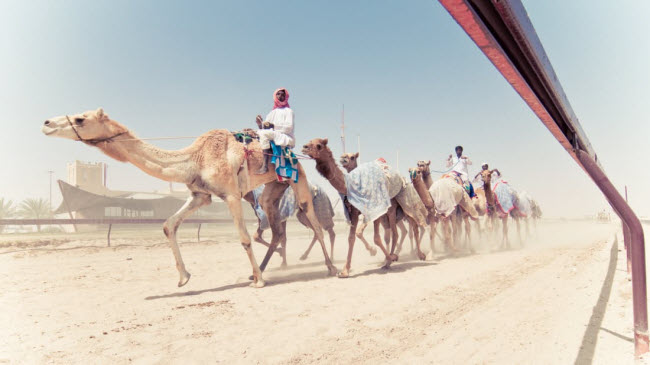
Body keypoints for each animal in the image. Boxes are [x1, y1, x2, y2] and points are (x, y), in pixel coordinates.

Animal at [41, 108, 336, 288]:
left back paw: (330, 268)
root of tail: (294, 152)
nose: (46, 123)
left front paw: (260, 282)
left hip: (298, 180)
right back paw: (265, 268)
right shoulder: (200, 196)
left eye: (80, 118)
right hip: (271, 190)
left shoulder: (231, 194)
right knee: (276, 228)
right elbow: (168, 224)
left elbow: (243, 238)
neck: (194, 159)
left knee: (315, 222)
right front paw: (183, 277)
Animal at [300, 138, 422, 278]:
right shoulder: (353, 212)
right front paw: (345, 271)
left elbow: (375, 237)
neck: (351, 184)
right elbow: (351, 238)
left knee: (412, 226)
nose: (304, 147)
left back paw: (419, 255)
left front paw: (378, 253)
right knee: (396, 233)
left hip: (401, 204)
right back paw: (389, 261)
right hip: (391, 212)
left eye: (319, 145)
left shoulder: (374, 209)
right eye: (309, 142)